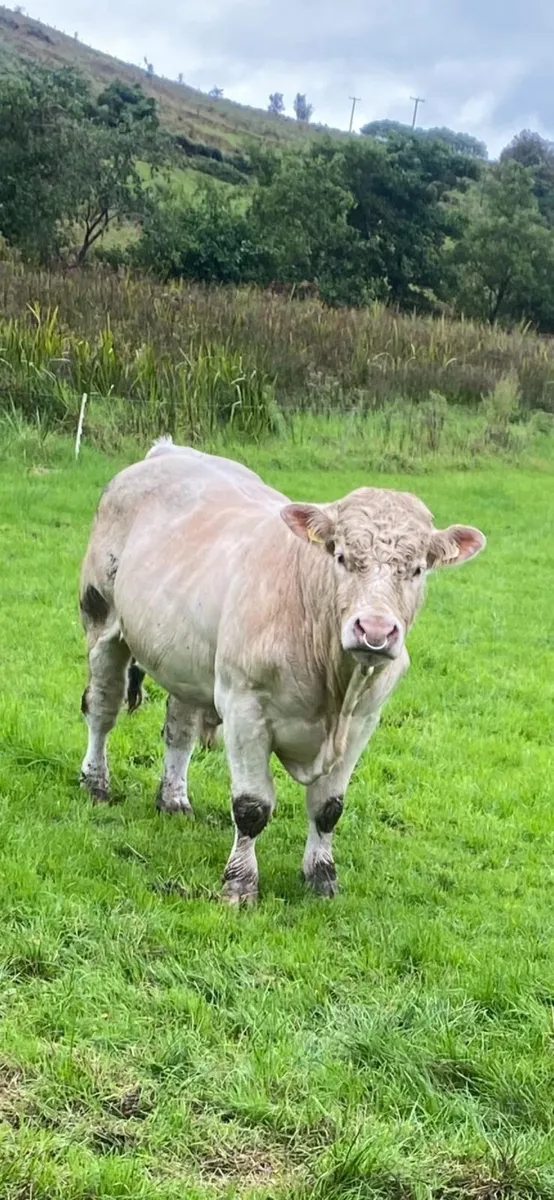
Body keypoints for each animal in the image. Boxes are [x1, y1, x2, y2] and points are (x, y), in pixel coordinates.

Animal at [79, 439, 485, 903]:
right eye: (342, 557)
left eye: (417, 568)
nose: (375, 630)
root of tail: (167, 449)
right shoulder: (244, 707)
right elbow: (252, 806)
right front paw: (240, 884)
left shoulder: (363, 721)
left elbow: (328, 808)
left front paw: (321, 876)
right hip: (101, 622)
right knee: (101, 709)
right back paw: (96, 783)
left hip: (184, 660)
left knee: (178, 729)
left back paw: (174, 800)